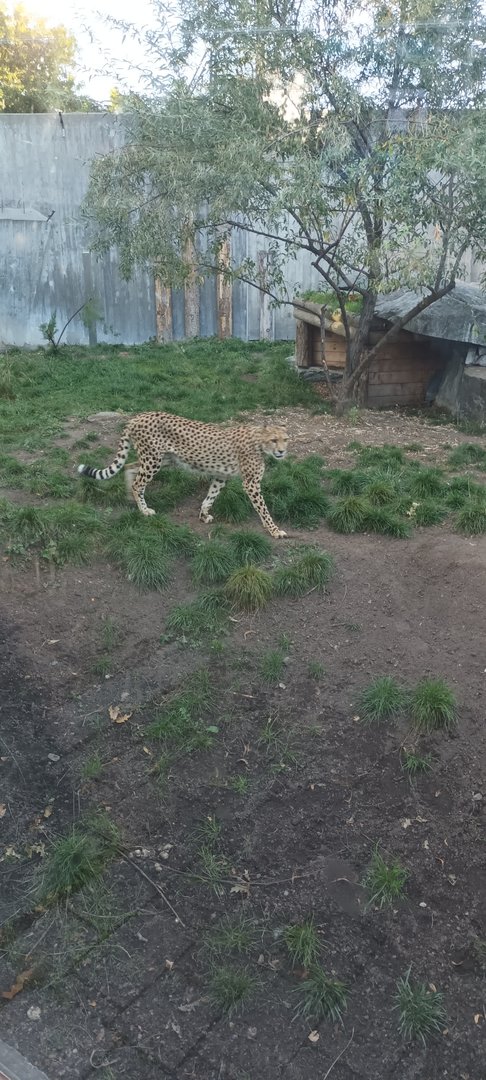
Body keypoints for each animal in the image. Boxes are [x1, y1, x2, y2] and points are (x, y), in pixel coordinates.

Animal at [77, 412, 289, 538]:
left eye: (286, 439)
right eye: (274, 439)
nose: (282, 451)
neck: (259, 442)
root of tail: (138, 416)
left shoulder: (221, 476)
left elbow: (210, 496)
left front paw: (203, 515)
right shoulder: (251, 483)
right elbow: (263, 509)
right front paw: (274, 530)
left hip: (162, 459)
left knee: (129, 467)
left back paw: (131, 498)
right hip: (153, 459)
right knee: (138, 483)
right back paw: (144, 510)